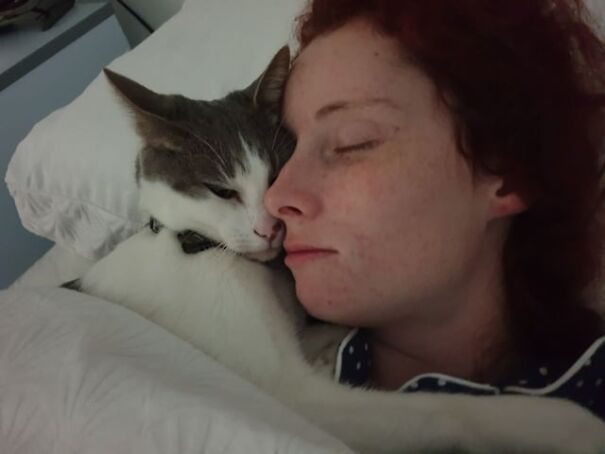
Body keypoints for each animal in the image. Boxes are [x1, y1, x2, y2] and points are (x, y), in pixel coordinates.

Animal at [65, 48, 604, 452]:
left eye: (280, 172)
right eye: (221, 191)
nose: (270, 227)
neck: (191, 246)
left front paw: (331, 335)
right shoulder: (292, 397)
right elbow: (444, 409)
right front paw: (570, 424)